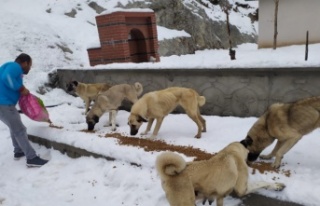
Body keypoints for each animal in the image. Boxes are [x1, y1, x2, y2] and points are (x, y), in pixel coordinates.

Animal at [155, 142, 284, 206]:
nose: (256, 157)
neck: (231, 152)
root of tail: (167, 175)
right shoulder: (242, 189)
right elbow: (262, 183)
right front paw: (277, 186)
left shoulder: (219, 197)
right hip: (186, 202)